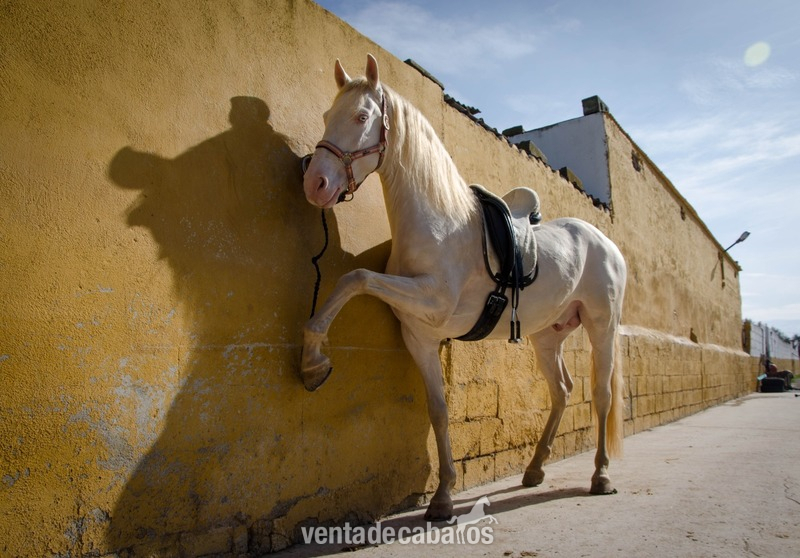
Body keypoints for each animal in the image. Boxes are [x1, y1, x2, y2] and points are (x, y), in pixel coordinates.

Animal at [301, 54, 627, 521]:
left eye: (362, 116)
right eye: (329, 114)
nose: (315, 183)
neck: (440, 223)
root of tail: (606, 242)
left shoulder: (431, 301)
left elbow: (354, 277)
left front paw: (312, 360)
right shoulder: (418, 335)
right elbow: (438, 410)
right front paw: (442, 497)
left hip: (602, 325)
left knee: (600, 395)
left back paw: (600, 476)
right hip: (548, 335)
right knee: (562, 391)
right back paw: (535, 469)